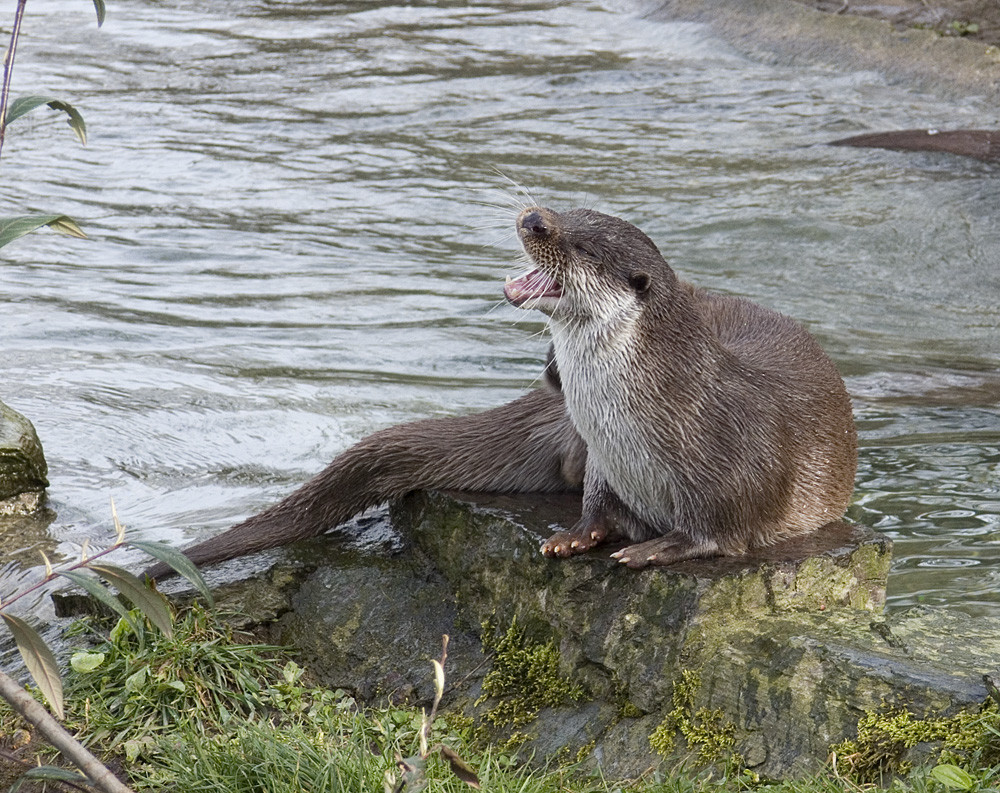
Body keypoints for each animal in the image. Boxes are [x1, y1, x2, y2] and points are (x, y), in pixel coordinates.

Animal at [145, 204, 856, 576]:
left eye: (581, 243)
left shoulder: (738, 466)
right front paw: (578, 535)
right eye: (566, 208)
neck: (655, 411)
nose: (534, 216)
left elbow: (719, 533)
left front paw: (655, 547)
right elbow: (596, 500)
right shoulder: (604, 457)